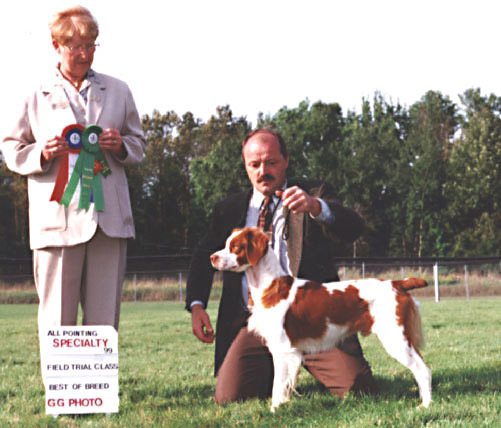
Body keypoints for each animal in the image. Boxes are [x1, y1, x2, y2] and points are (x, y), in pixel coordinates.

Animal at [209, 227, 432, 412]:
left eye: (235, 247)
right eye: (226, 244)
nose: (212, 257)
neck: (270, 286)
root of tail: (397, 283)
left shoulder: (282, 349)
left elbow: (277, 385)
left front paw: (274, 410)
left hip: (395, 338)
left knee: (423, 370)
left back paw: (426, 406)